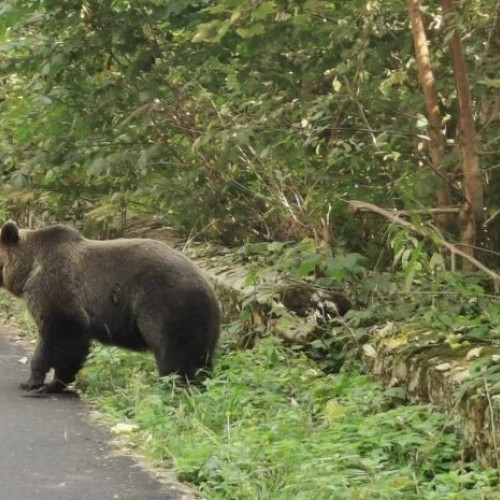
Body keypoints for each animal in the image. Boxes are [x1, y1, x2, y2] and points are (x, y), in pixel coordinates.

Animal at [0, 221, 221, 392]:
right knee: (201, 358)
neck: (28, 269)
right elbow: (74, 347)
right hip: (201, 324)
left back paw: (174, 387)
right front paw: (57, 381)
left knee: (174, 355)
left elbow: (59, 335)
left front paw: (35, 382)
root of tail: (209, 288)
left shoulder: (58, 290)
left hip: (166, 305)